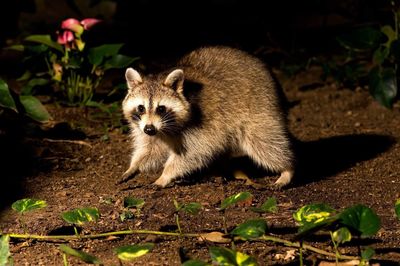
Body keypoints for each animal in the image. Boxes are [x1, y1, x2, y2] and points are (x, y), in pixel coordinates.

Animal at [119, 46, 294, 187]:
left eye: (161, 109)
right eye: (141, 108)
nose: (149, 129)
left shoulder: (201, 124)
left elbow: (194, 152)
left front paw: (165, 175)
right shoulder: (148, 129)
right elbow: (150, 148)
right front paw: (134, 165)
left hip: (260, 109)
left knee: (264, 143)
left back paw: (287, 168)